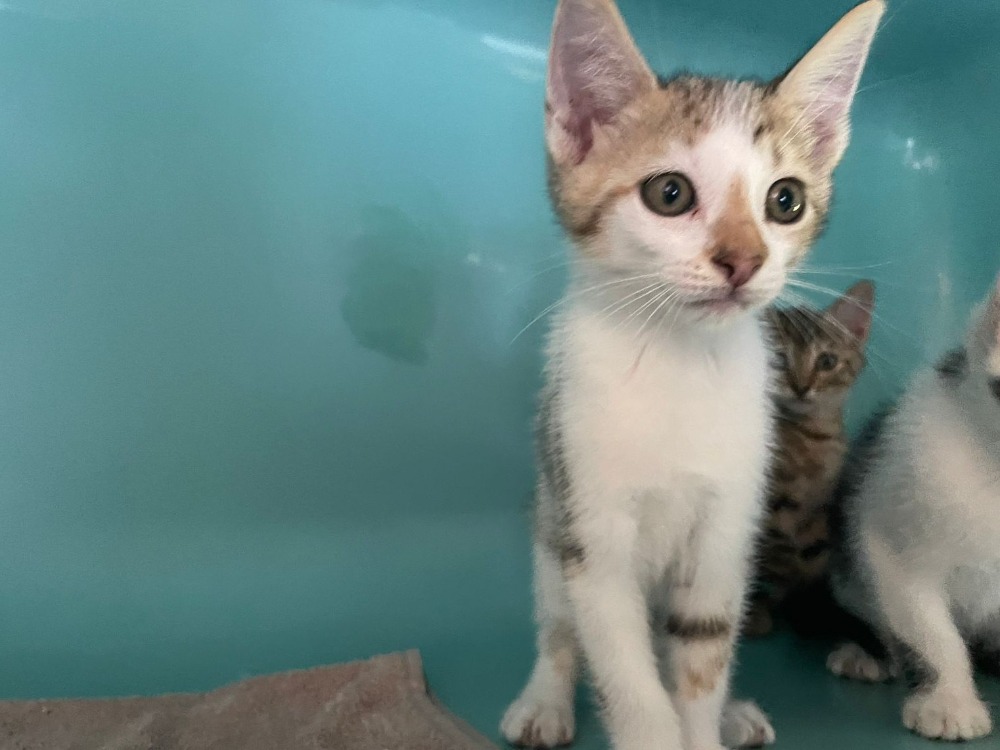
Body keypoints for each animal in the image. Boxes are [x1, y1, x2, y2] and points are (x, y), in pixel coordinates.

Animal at [743, 281, 875, 638]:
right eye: (777, 359)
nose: (802, 387)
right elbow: (772, 556)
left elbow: (812, 553)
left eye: (827, 361)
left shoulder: (816, 511)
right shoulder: (771, 504)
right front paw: (759, 611)